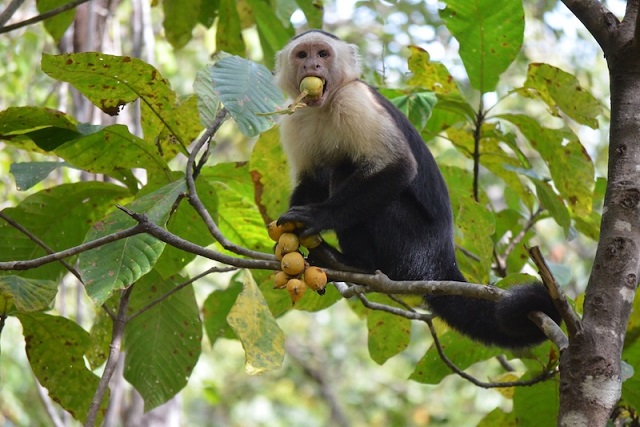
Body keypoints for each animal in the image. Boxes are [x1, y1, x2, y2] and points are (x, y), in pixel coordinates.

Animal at [272, 30, 564, 352]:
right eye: (302, 55)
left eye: (323, 54)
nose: (312, 65)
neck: (324, 106)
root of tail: (441, 260)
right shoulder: (294, 117)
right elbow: (311, 181)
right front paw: (288, 236)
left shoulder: (355, 100)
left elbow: (399, 168)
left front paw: (317, 217)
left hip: (412, 246)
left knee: (350, 174)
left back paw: (356, 263)